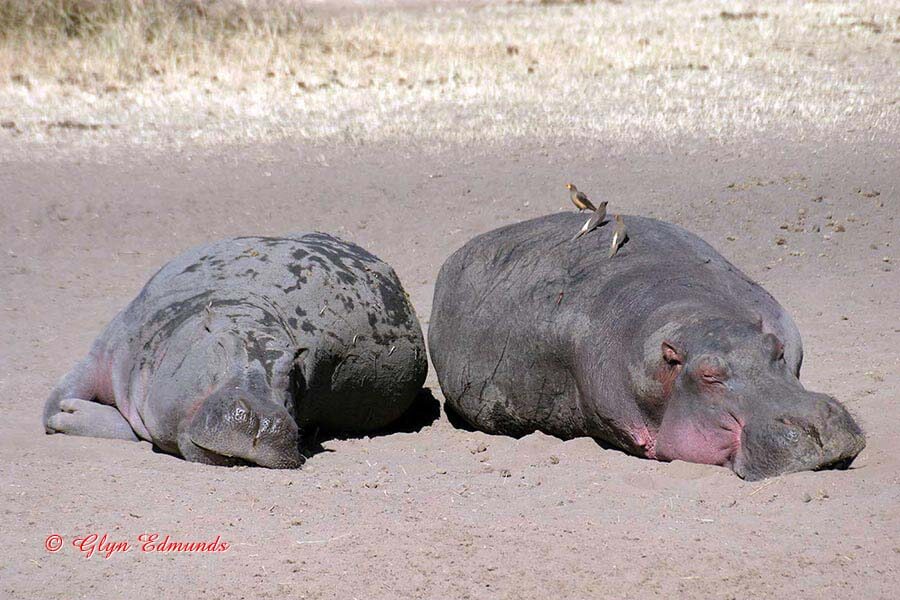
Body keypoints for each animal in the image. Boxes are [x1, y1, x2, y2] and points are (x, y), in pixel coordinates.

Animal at [44, 233, 427, 468]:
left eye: (292, 371)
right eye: (222, 346)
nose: (261, 419)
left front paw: (70, 414)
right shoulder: (105, 352)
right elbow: (52, 407)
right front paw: (66, 411)